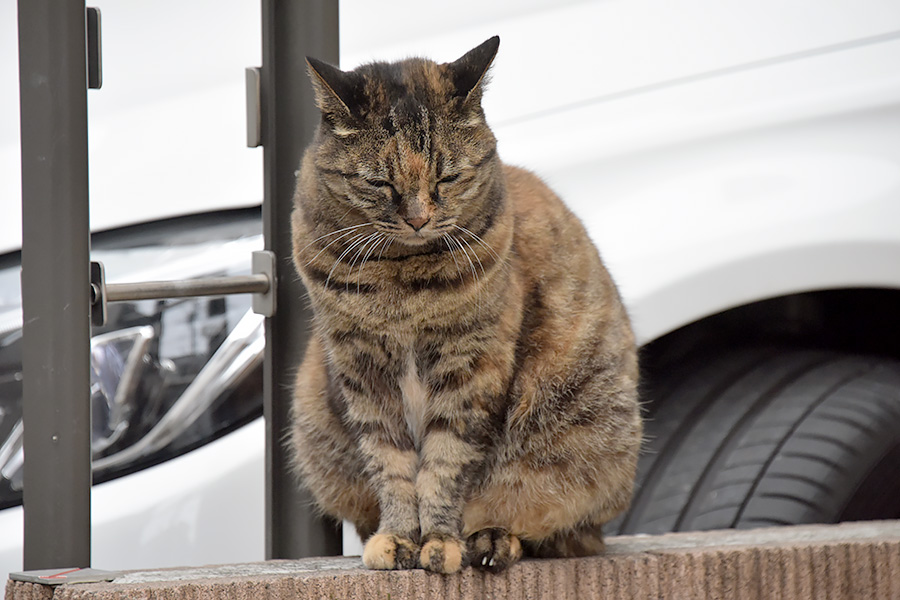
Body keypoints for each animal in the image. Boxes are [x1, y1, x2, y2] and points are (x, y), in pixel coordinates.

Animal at [288, 35, 640, 576]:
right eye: (380, 183)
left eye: (446, 178)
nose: (417, 219)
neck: (402, 282)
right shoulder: (362, 369)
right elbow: (389, 460)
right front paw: (398, 537)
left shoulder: (472, 366)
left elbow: (446, 461)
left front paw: (439, 540)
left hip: (588, 432)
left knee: (556, 527)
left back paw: (492, 540)